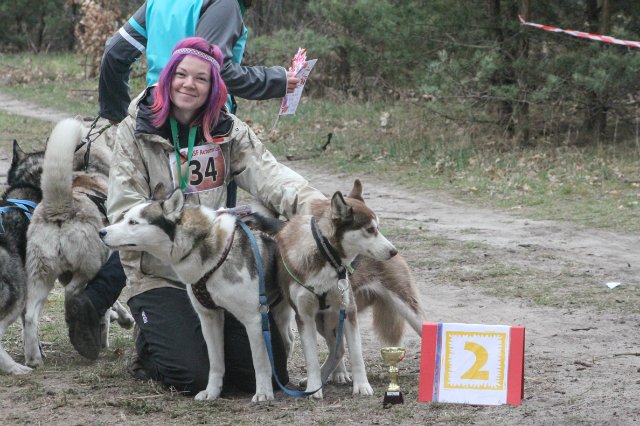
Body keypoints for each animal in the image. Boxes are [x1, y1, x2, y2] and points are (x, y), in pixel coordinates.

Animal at [22, 119, 131, 366]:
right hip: (89, 266)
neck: (86, 168)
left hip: (41, 277)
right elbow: (109, 305)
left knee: (30, 316)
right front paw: (109, 329)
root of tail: (59, 208)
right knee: (73, 293)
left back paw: (34, 359)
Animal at [100, 189, 280, 402]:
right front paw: (212, 391)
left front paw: (263, 392)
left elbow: (259, 363)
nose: (101, 232)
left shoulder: (254, 319)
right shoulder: (209, 318)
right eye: (124, 216)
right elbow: (215, 362)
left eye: (133, 222)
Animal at [268, 180, 424, 400]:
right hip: (323, 321)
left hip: (407, 308)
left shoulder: (348, 310)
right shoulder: (305, 316)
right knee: (338, 349)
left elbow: (357, 355)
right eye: (370, 229)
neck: (326, 256)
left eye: (378, 228)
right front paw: (314, 388)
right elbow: (312, 359)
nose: (393, 251)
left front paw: (362, 386)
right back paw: (321, 378)